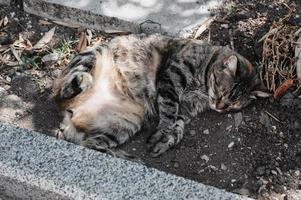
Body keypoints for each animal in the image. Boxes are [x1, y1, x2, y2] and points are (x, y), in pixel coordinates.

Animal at [51, 34, 258, 156]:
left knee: (87, 143)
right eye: (222, 92)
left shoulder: (185, 108)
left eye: (232, 105)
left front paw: (166, 140)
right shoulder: (171, 78)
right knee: (64, 90)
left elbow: (178, 125)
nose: (220, 107)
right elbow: (169, 112)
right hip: (93, 55)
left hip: (125, 126)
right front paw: (164, 131)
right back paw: (81, 81)